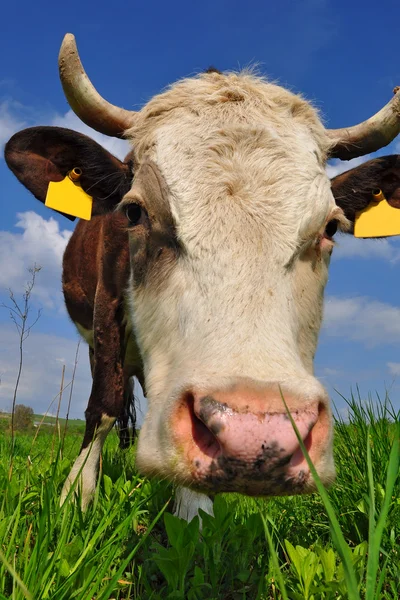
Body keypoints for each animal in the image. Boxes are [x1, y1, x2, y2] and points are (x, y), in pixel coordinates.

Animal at [4, 32, 400, 520]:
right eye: (133, 212)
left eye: (330, 227)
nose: (255, 435)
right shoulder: (106, 310)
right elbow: (103, 404)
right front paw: (76, 496)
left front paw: (193, 513)